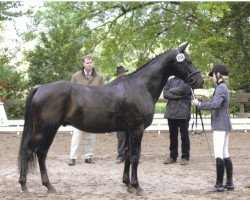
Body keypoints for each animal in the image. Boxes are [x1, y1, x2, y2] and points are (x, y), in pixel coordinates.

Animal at [19, 42, 203, 195]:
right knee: (29, 151)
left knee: (41, 153)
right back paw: (24, 186)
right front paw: (137, 187)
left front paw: (127, 184)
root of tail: (40, 88)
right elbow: (135, 157)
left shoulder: (129, 130)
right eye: (187, 61)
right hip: (44, 129)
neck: (140, 86)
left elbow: (128, 155)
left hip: (49, 130)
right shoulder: (137, 130)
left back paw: (49, 187)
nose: (199, 81)